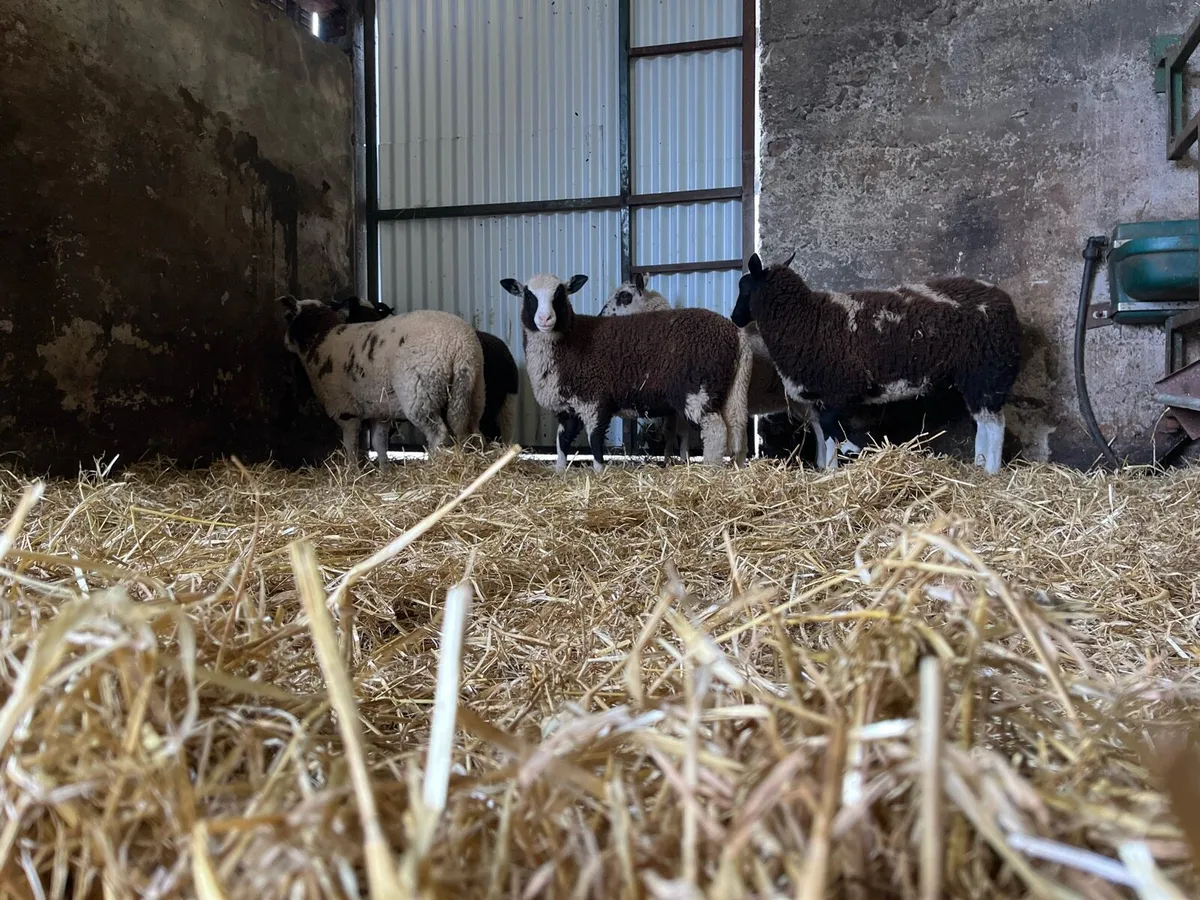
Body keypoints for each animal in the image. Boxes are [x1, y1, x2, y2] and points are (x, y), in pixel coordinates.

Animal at [278, 295, 485, 466]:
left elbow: (350, 445)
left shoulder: (345, 410)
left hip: (420, 393)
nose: (284, 344)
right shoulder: (380, 410)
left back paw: (432, 466)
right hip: (473, 391)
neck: (319, 340)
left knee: (438, 434)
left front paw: (352, 472)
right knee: (472, 430)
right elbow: (379, 443)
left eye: (288, 316)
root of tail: (459, 345)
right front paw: (384, 470)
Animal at [499, 272, 752, 473]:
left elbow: (595, 439)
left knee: (716, 432)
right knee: (738, 430)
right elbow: (563, 440)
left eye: (559, 295)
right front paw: (560, 472)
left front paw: (599, 472)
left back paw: (710, 471)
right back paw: (737, 468)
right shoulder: (568, 407)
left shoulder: (594, 398)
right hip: (731, 391)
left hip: (696, 392)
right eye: (528, 296)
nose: (545, 319)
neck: (570, 337)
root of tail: (734, 333)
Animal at [599, 275, 799, 464]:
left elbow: (677, 432)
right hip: (736, 391)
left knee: (717, 431)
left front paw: (679, 460)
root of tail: (739, 339)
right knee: (738, 432)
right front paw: (675, 459)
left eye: (624, 296)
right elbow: (673, 432)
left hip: (698, 392)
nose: (601, 315)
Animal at [730, 252, 1021, 474]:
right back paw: (979, 467)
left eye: (745, 288)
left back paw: (991, 471)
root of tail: (1003, 299)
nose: (735, 318)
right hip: (973, 377)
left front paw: (835, 467)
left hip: (987, 373)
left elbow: (832, 432)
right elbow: (824, 434)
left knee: (994, 425)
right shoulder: (820, 396)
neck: (806, 318)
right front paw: (825, 468)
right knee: (983, 422)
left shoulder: (838, 391)